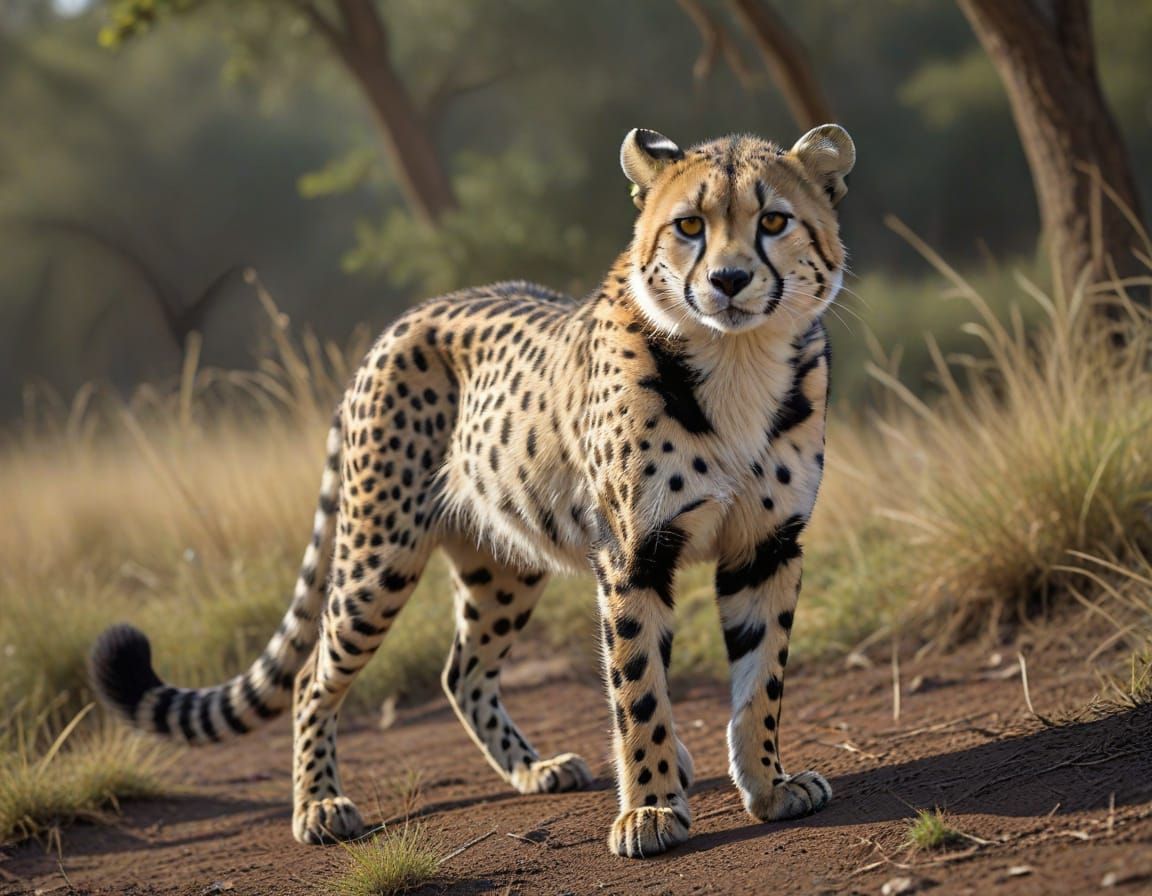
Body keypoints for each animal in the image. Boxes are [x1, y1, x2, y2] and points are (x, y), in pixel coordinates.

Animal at [91, 123, 855, 858]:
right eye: (690, 225)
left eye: (774, 221)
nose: (728, 280)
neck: (737, 359)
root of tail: (408, 318)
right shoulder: (631, 555)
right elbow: (638, 690)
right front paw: (651, 810)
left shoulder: (767, 546)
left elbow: (763, 681)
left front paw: (770, 784)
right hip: (377, 560)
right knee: (313, 677)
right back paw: (319, 805)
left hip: (505, 564)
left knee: (462, 671)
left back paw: (534, 769)